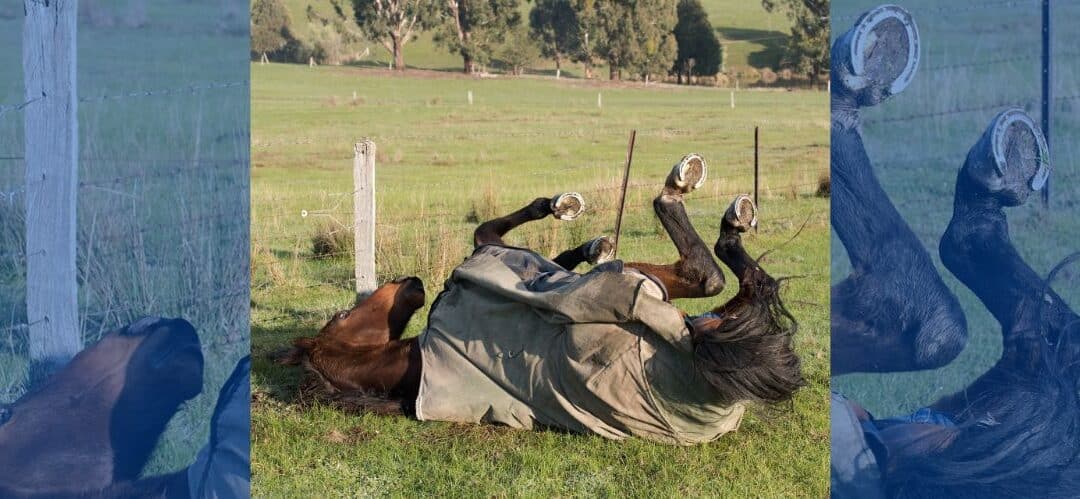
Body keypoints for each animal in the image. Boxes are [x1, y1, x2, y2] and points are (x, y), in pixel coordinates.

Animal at [282, 155, 807, 444]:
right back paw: (691, 195)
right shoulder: (490, 254)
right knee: (707, 271)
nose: (409, 279)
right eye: (344, 313)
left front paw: (587, 238)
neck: (411, 367)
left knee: (720, 278)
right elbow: (488, 229)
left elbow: (551, 252)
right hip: (647, 293)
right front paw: (563, 213)